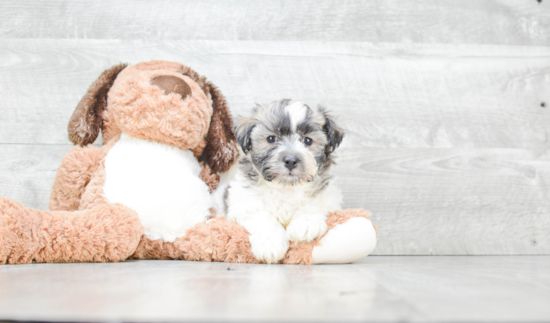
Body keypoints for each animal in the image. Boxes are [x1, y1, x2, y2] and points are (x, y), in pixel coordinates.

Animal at [215, 100, 344, 264]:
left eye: (308, 140)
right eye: (271, 139)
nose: (290, 160)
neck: (285, 186)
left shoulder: (329, 196)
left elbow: (314, 204)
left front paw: (306, 223)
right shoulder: (245, 202)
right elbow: (262, 218)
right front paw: (270, 244)